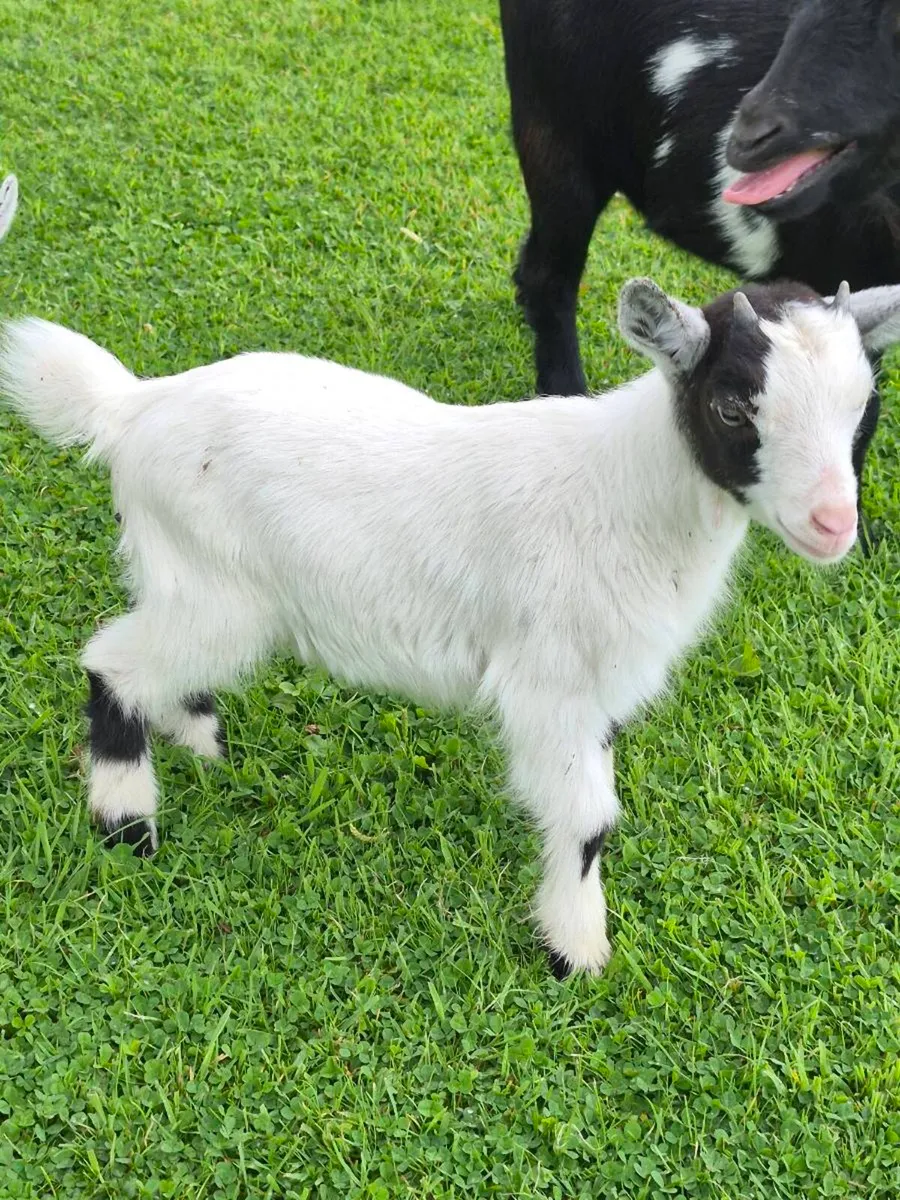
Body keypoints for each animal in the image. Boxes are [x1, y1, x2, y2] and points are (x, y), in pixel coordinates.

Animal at [5, 277, 900, 975]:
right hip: (219, 592)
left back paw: (199, 742)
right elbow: (589, 819)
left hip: (188, 576)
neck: (626, 492)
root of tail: (131, 405)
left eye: (864, 407)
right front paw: (575, 951)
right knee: (111, 661)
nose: (833, 524)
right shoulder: (549, 681)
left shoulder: (597, 690)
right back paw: (127, 823)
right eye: (732, 405)